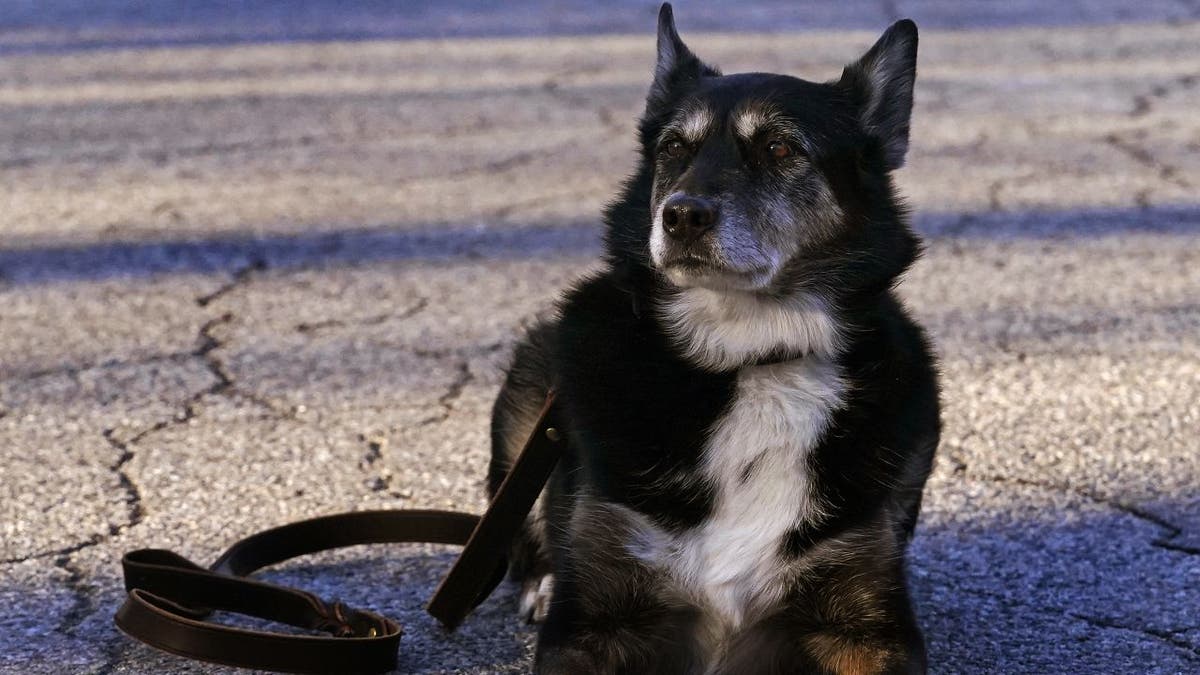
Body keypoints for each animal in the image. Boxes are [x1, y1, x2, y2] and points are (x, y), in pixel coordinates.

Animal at [487, 3, 936, 667]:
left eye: (779, 147)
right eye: (674, 147)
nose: (680, 216)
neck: (750, 357)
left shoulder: (867, 624)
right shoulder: (590, 620)